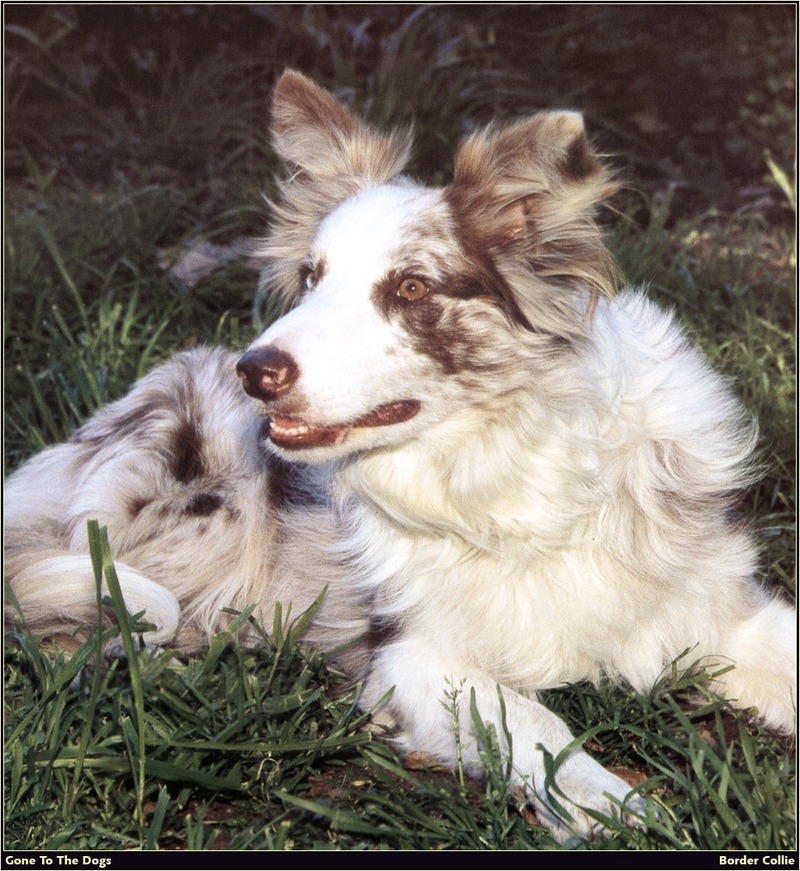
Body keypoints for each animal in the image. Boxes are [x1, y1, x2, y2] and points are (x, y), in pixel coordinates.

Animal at [4, 70, 792, 844]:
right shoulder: (415, 655)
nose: (255, 371)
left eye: (411, 287)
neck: (506, 468)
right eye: (312, 277)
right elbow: (537, 721)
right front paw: (614, 807)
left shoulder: (716, 604)